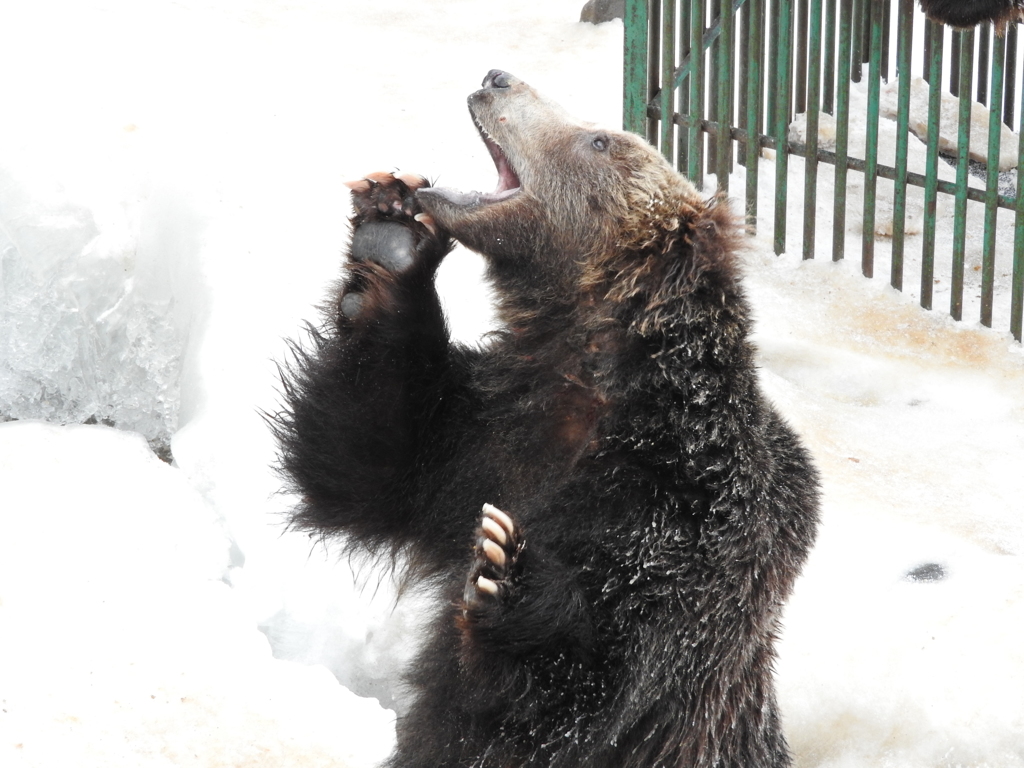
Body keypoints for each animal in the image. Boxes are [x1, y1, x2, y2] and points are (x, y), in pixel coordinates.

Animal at [276, 70, 819, 768]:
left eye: (600, 140)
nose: (497, 78)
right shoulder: (484, 434)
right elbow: (364, 461)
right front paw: (391, 230)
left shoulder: (685, 522)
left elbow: (579, 688)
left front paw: (506, 564)